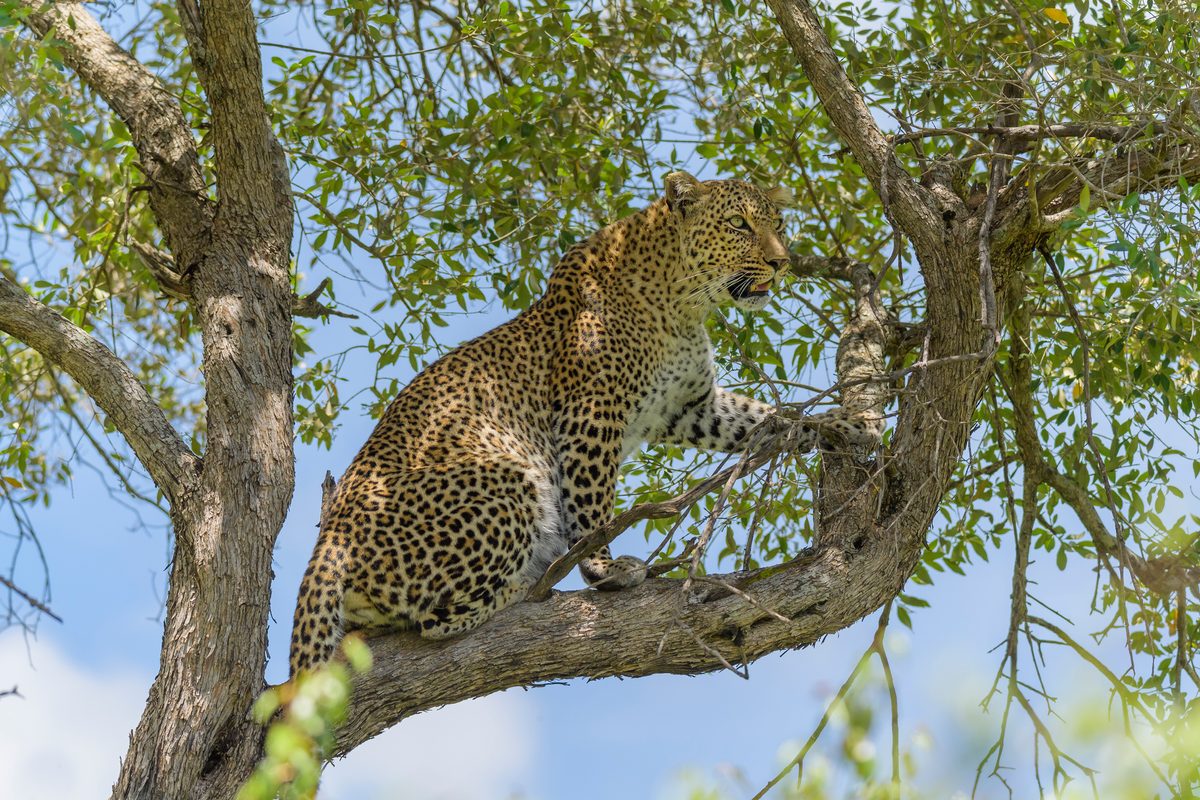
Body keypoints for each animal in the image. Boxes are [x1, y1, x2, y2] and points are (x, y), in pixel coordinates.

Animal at [288, 171, 877, 675]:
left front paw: (848, 425)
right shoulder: (591, 411)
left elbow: (769, 417)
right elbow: (593, 503)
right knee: (435, 621)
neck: (684, 303)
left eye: (778, 225)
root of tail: (330, 538)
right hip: (509, 479)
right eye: (738, 224)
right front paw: (603, 570)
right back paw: (523, 583)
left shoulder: (690, 406)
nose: (782, 263)